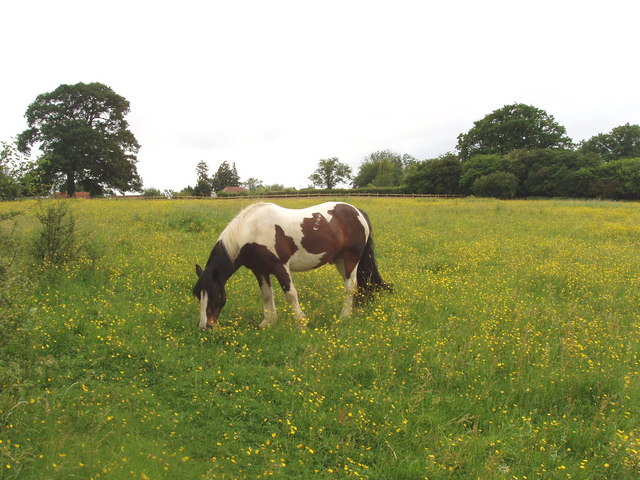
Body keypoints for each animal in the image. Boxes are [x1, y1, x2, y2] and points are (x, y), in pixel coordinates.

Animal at [192, 201, 391, 329]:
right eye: (197, 294)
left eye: (214, 294)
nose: (205, 326)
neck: (252, 230)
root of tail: (358, 212)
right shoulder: (260, 270)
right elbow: (266, 295)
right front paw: (268, 322)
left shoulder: (280, 267)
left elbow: (290, 294)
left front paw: (301, 322)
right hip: (340, 260)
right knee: (359, 284)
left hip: (351, 258)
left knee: (351, 286)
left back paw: (344, 316)